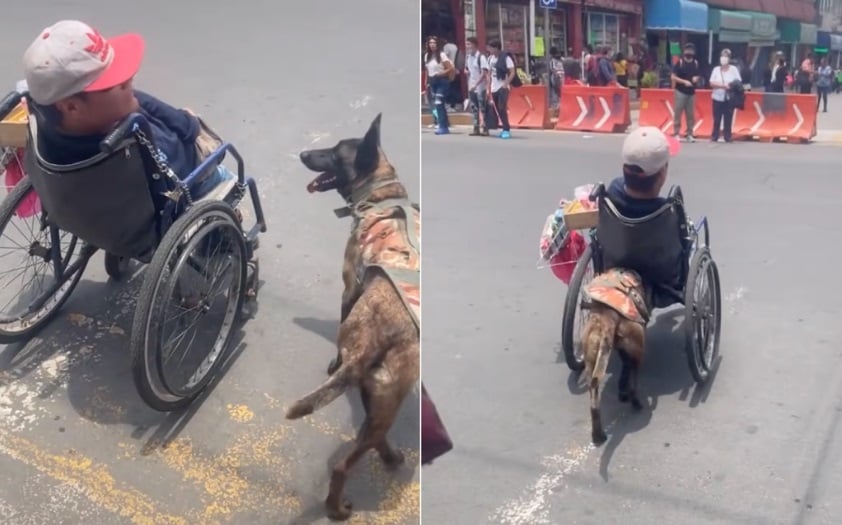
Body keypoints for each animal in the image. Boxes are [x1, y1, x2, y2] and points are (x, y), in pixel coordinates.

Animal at [288, 114, 418, 520]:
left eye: (333, 153)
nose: (303, 153)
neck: (382, 192)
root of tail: (372, 342)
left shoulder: (349, 286)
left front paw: (333, 362)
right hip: (383, 404)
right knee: (366, 445)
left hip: (381, 402)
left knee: (344, 464)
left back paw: (336, 508)